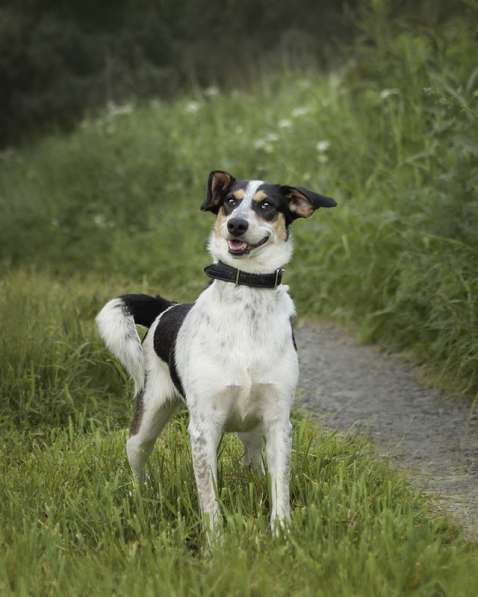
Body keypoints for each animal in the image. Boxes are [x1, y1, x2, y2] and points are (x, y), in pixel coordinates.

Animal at [96, 171, 336, 532]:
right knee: (138, 462)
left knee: (253, 463)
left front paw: (281, 533)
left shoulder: (278, 421)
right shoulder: (203, 428)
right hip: (147, 419)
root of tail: (167, 307)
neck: (247, 291)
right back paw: (144, 499)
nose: (236, 224)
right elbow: (208, 496)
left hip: (253, 430)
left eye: (267, 205)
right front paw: (216, 540)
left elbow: (280, 488)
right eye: (230, 201)